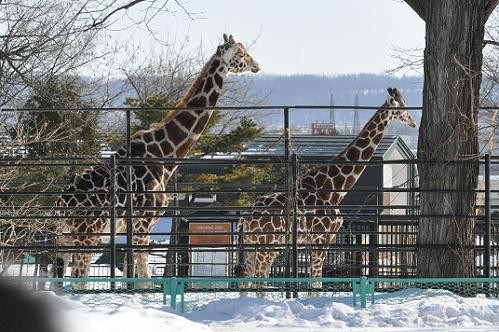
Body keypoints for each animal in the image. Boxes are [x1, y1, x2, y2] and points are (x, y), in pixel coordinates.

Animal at [54, 35, 262, 286]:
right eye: (241, 53)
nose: (257, 65)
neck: (166, 154)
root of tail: (60, 205)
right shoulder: (144, 221)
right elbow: (144, 278)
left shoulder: (136, 226)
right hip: (88, 233)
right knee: (77, 278)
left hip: (66, 238)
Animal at [236, 87, 416, 292]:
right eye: (402, 107)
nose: (413, 122)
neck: (334, 189)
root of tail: (245, 216)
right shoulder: (321, 239)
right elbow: (316, 284)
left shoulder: (317, 242)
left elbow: (314, 284)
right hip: (267, 245)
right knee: (259, 280)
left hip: (253, 246)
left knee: (247, 280)